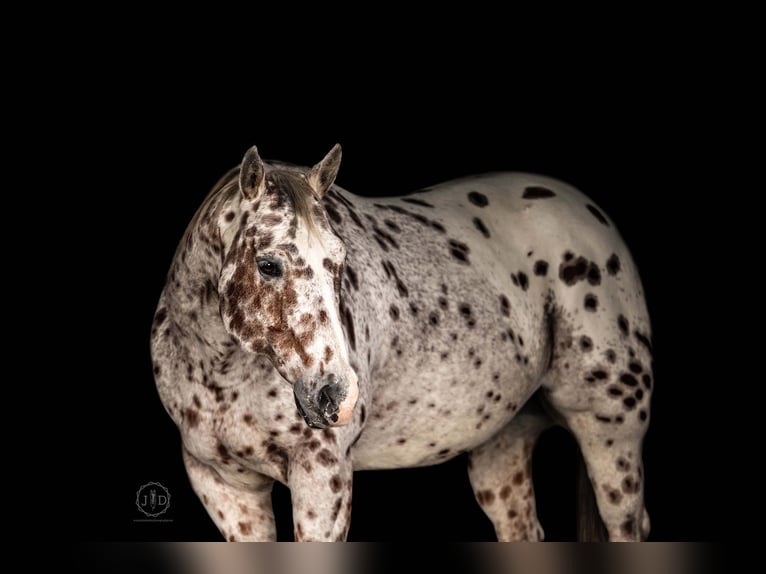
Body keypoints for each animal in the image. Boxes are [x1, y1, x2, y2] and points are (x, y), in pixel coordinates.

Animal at [150, 144, 653, 541]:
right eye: (268, 264)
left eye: (338, 262)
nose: (337, 395)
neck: (218, 370)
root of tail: (588, 216)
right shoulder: (223, 486)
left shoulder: (322, 477)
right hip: (502, 444)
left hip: (611, 432)